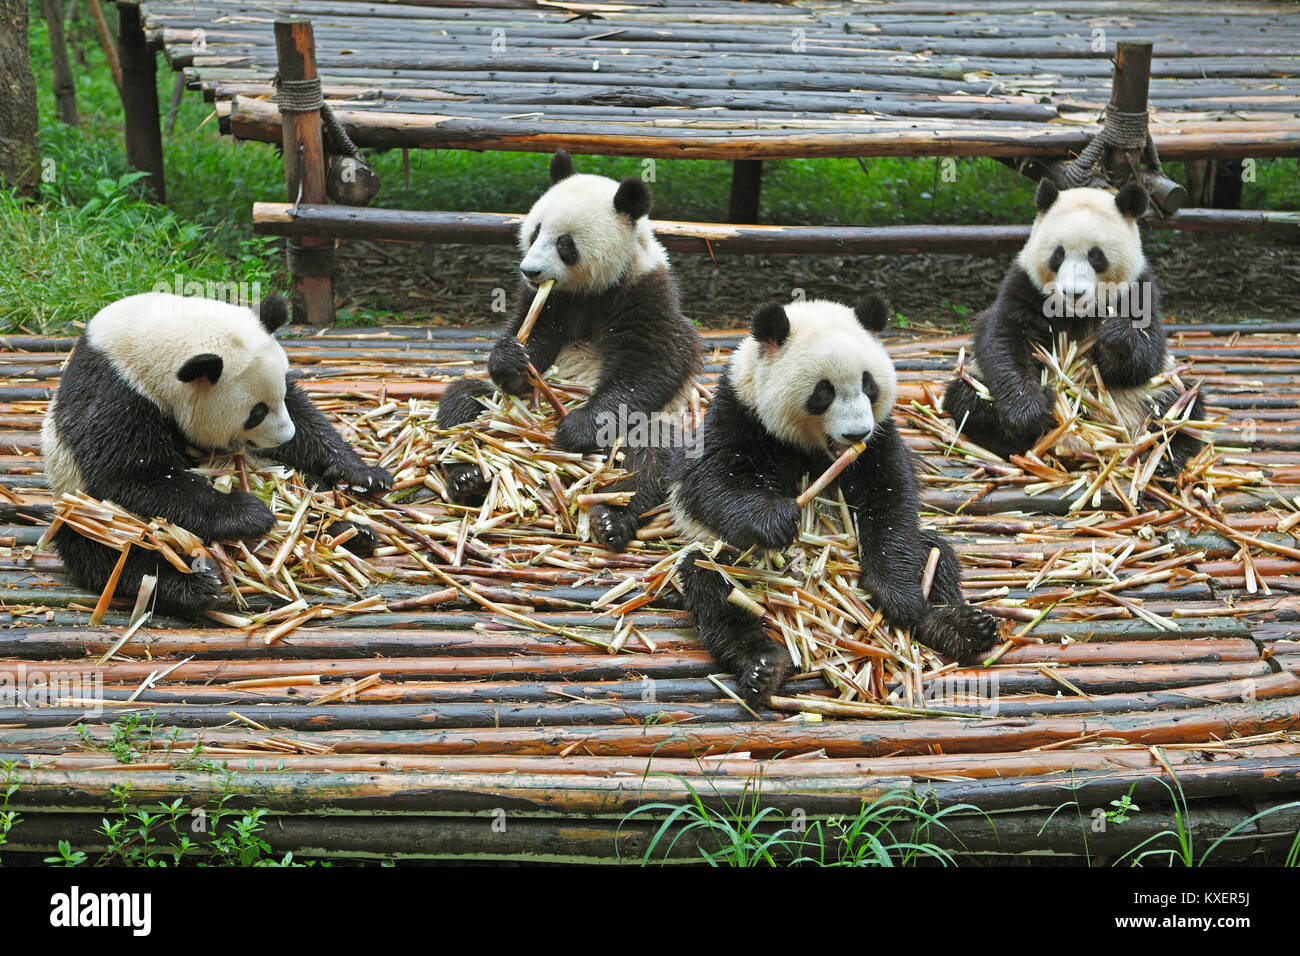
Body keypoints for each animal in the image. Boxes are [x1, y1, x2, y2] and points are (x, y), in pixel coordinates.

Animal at [43, 291, 392, 616]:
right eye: (255, 413)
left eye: (278, 395)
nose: (284, 436)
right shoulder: (119, 393)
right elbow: (129, 476)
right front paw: (249, 513)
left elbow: (305, 416)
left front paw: (365, 474)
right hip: (84, 511)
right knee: (118, 551)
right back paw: (191, 584)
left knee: (307, 494)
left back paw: (350, 532)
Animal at [436, 149, 702, 554]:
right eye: (535, 231)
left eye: (565, 243)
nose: (529, 270)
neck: (593, 290)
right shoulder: (552, 302)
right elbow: (533, 337)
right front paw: (512, 359)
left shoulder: (646, 293)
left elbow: (651, 365)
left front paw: (576, 428)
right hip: (492, 409)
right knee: (463, 402)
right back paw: (467, 476)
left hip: (665, 423)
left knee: (649, 455)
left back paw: (612, 518)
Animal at [665, 295, 998, 707]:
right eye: (823, 392)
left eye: (869, 385)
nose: (856, 433)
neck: (815, 450)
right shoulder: (740, 412)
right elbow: (710, 481)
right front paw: (775, 521)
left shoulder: (880, 437)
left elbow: (891, 498)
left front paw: (900, 595)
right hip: (723, 554)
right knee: (711, 583)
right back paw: (763, 666)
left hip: (923, 551)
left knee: (933, 553)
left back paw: (957, 627)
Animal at [946, 180, 1206, 476]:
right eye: (1058, 254)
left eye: (1096, 256)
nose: (1074, 293)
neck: (1075, 314)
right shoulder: (1024, 286)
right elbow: (1003, 340)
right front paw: (1030, 411)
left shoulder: (1140, 289)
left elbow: (1146, 357)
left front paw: (1116, 337)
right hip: (978, 385)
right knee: (967, 400)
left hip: (1155, 392)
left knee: (1183, 408)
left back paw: (1165, 460)